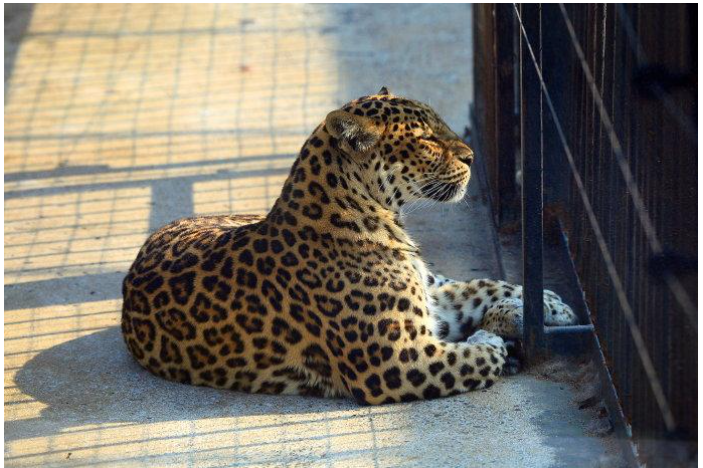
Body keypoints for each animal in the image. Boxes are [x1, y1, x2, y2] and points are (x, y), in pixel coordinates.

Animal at [122, 88, 576, 406]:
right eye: (426, 139)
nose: (471, 156)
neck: (376, 215)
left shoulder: (429, 305)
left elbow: (481, 286)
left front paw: (550, 306)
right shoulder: (397, 361)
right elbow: (476, 359)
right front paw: (493, 341)